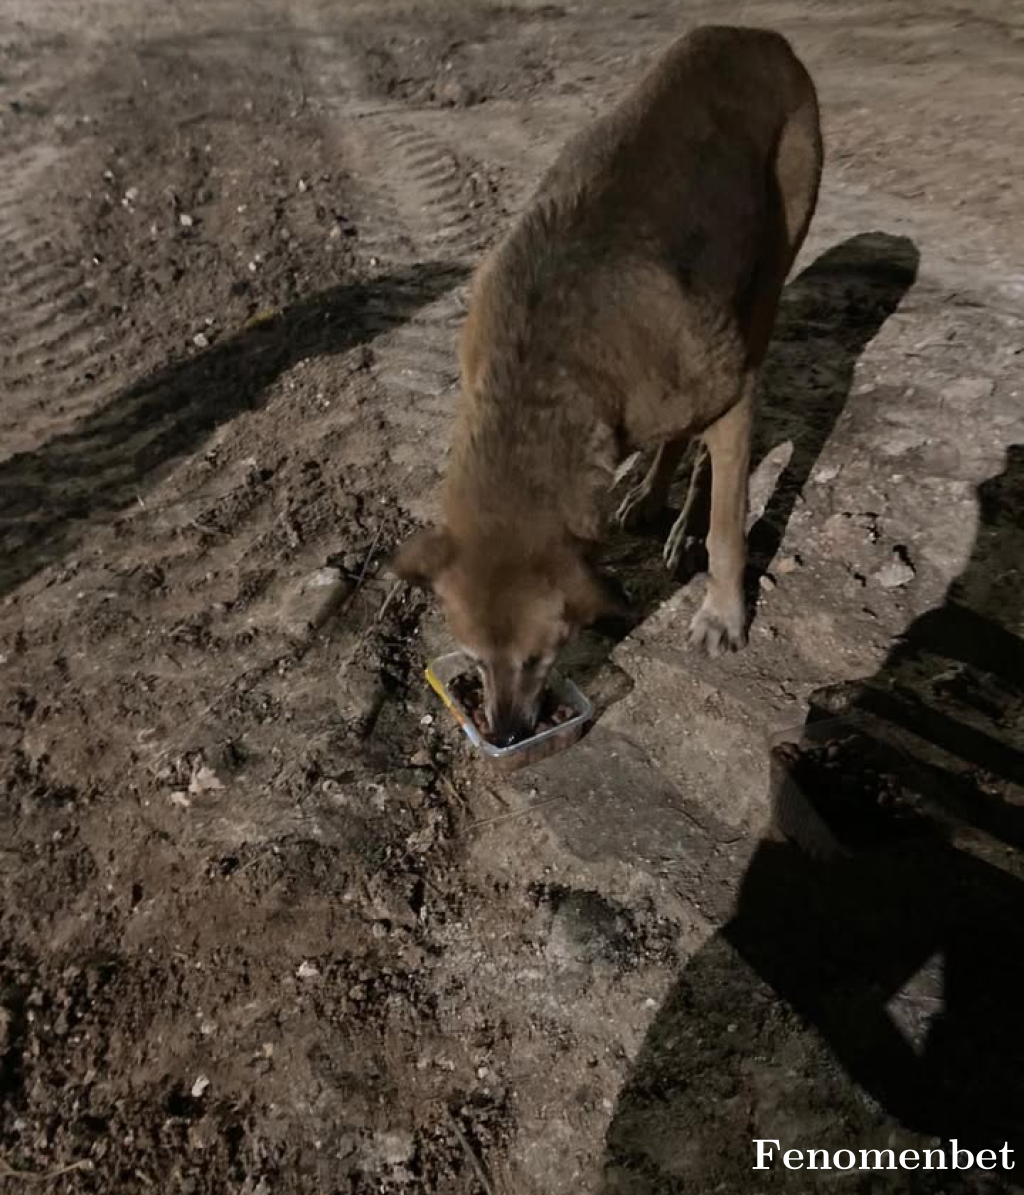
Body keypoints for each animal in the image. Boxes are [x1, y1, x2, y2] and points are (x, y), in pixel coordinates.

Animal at [391, 23, 822, 740]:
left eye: (542, 656)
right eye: (474, 659)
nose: (504, 734)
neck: (540, 382)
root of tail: (759, 35)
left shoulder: (733, 392)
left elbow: (729, 530)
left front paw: (722, 612)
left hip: (766, 278)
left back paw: (685, 525)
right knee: (675, 440)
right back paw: (649, 497)